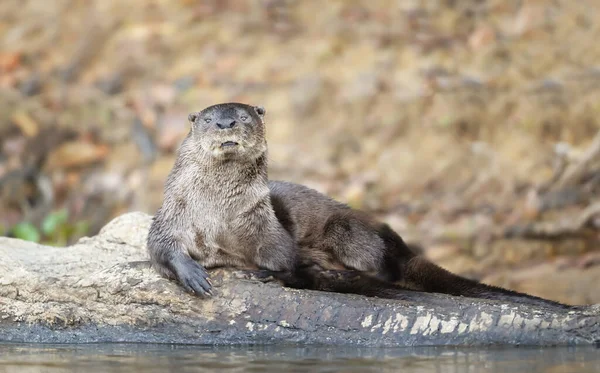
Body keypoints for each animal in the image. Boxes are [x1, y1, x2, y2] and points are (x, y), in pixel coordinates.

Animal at [148, 102, 568, 308]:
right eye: (207, 119)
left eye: (243, 116)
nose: (225, 125)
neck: (218, 213)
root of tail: (398, 241)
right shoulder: (173, 214)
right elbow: (159, 247)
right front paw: (190, 272)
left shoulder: (264, 221)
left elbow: (282, 255)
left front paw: (272, 273)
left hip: (349, 228)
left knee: (381, 266)